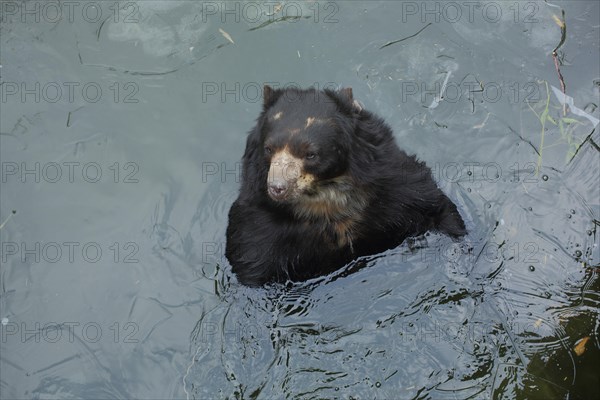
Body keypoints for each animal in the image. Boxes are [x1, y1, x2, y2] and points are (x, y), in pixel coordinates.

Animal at [227, 86, 466, 286]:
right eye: (268, 149)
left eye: (311, 154)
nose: (278, 188)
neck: (325, 199)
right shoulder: (259, 225)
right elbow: (250, 260)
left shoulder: (395, 186)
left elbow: (436, 206)